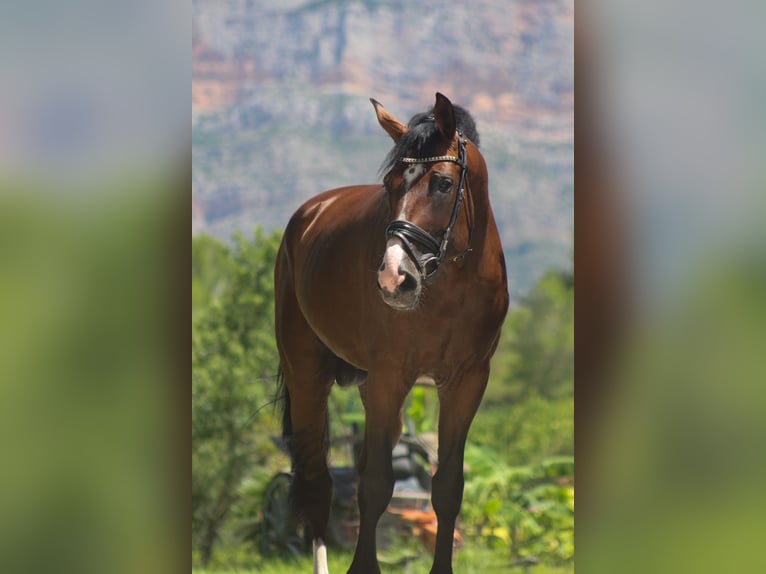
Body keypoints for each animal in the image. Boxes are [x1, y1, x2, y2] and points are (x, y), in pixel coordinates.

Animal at [274, 92, 509, 574]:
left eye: (442, 184)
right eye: (390, 185)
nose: (393, 279)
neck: (451, 286)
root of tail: (310, 213)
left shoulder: (466, 382)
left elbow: (448, 486)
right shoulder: (391, 375)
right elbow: (377, 484)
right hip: (308, 375)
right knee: (317, 479)